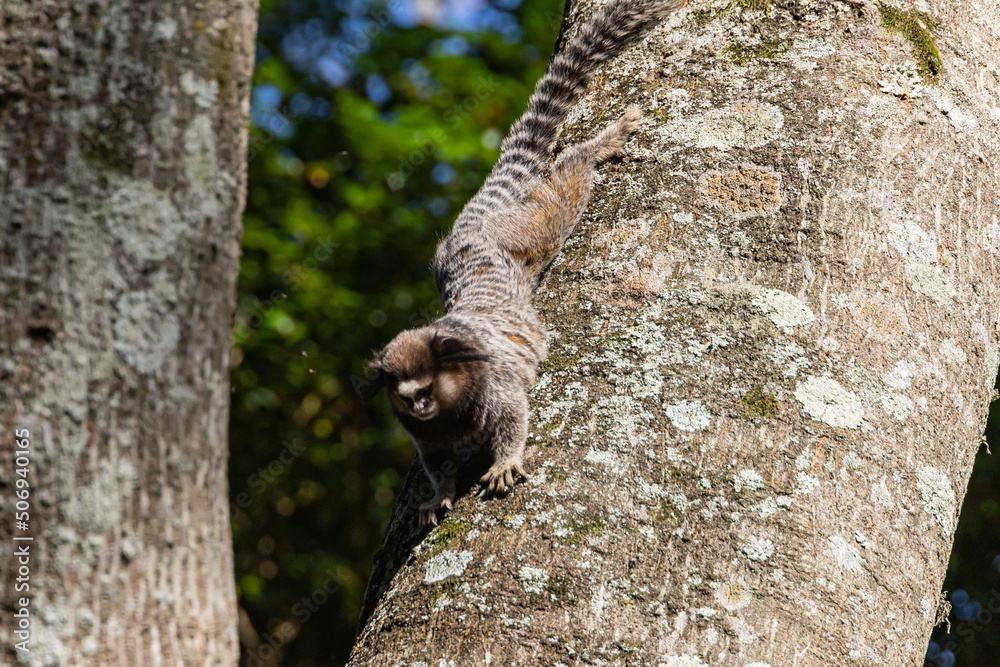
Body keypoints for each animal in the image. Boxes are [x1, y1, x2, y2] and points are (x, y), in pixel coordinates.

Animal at [366, 0, 683, 527]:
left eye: (427, 388)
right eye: (409, 397)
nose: (424, 406)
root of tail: (470, 229)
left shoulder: (492, 383)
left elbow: (513, 414)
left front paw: (505, 462)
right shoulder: (422, 433)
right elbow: (436, 462)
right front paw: (437, 495)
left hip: (523, 234)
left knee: (562, 197)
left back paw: (597, 146)